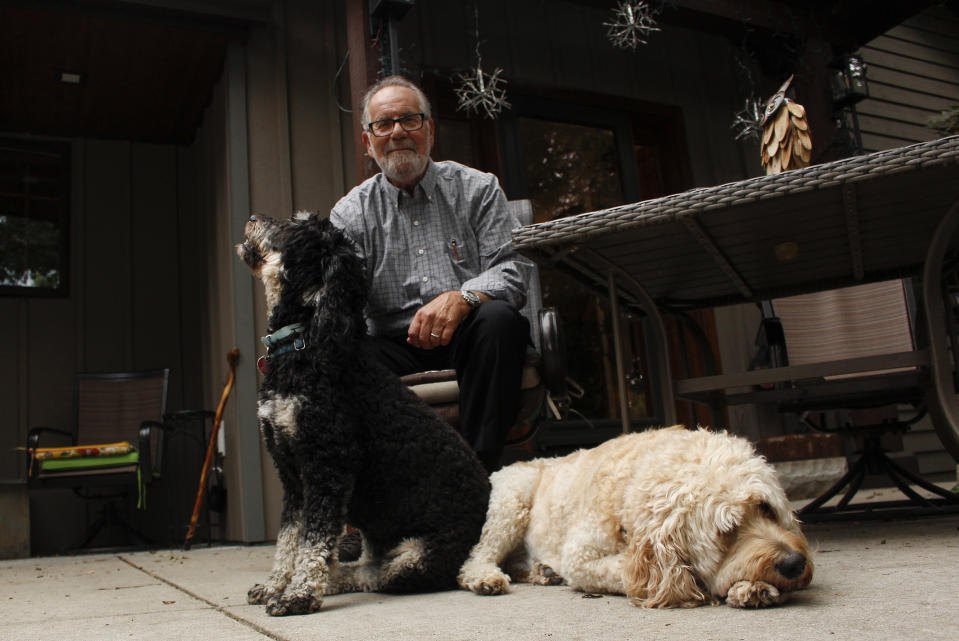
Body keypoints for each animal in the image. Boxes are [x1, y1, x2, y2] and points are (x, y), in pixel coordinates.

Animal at [236, 211, 492, 616]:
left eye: (292, 230)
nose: (252, 217)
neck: (304, 345)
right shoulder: (291, 474)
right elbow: (288, 538)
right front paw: (276, 585)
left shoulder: (328, 467)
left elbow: (313, 540)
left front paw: (298, 595)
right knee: (368, 565)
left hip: (419, 556)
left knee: (378, 575)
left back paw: (329, 584)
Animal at [458, 424, 808, 604]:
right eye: (728, 530)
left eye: (765, 507)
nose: (795, 563)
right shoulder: (580, 557)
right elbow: (629, 573)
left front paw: (751, 587)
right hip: (511, 503)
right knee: (477, 556)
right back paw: (486, 578)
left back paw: (542, 571)